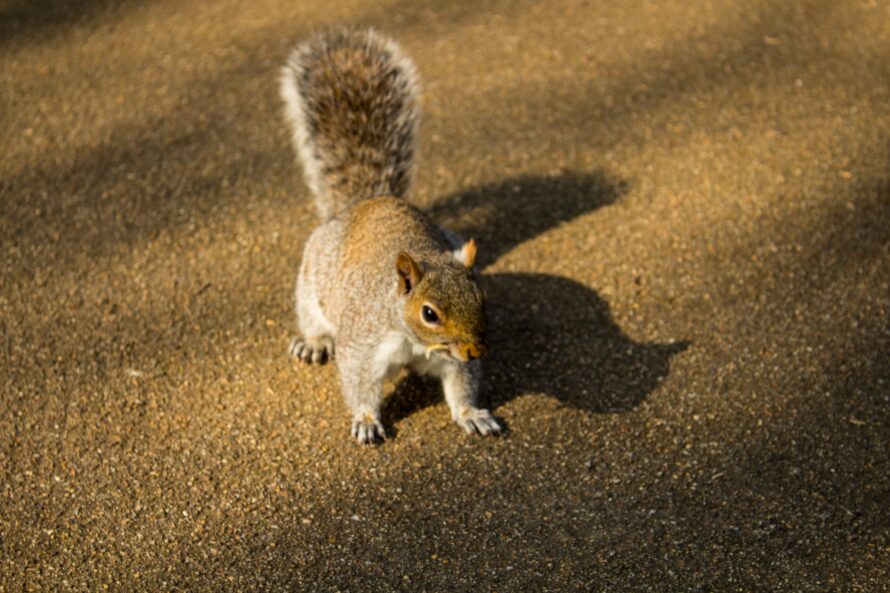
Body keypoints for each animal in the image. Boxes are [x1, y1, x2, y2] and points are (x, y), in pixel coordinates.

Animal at [278, 28, 500, 444]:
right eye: (429, 313)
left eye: (482, 298)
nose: (475, 350)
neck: (414, 342)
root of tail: (371, 200)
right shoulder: (363, 343)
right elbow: (358, 382)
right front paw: (366, 420)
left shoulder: (452, 362)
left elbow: (461, 384)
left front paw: (472, 414)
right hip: (311, 282)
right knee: (313, 319)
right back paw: (313, 343)